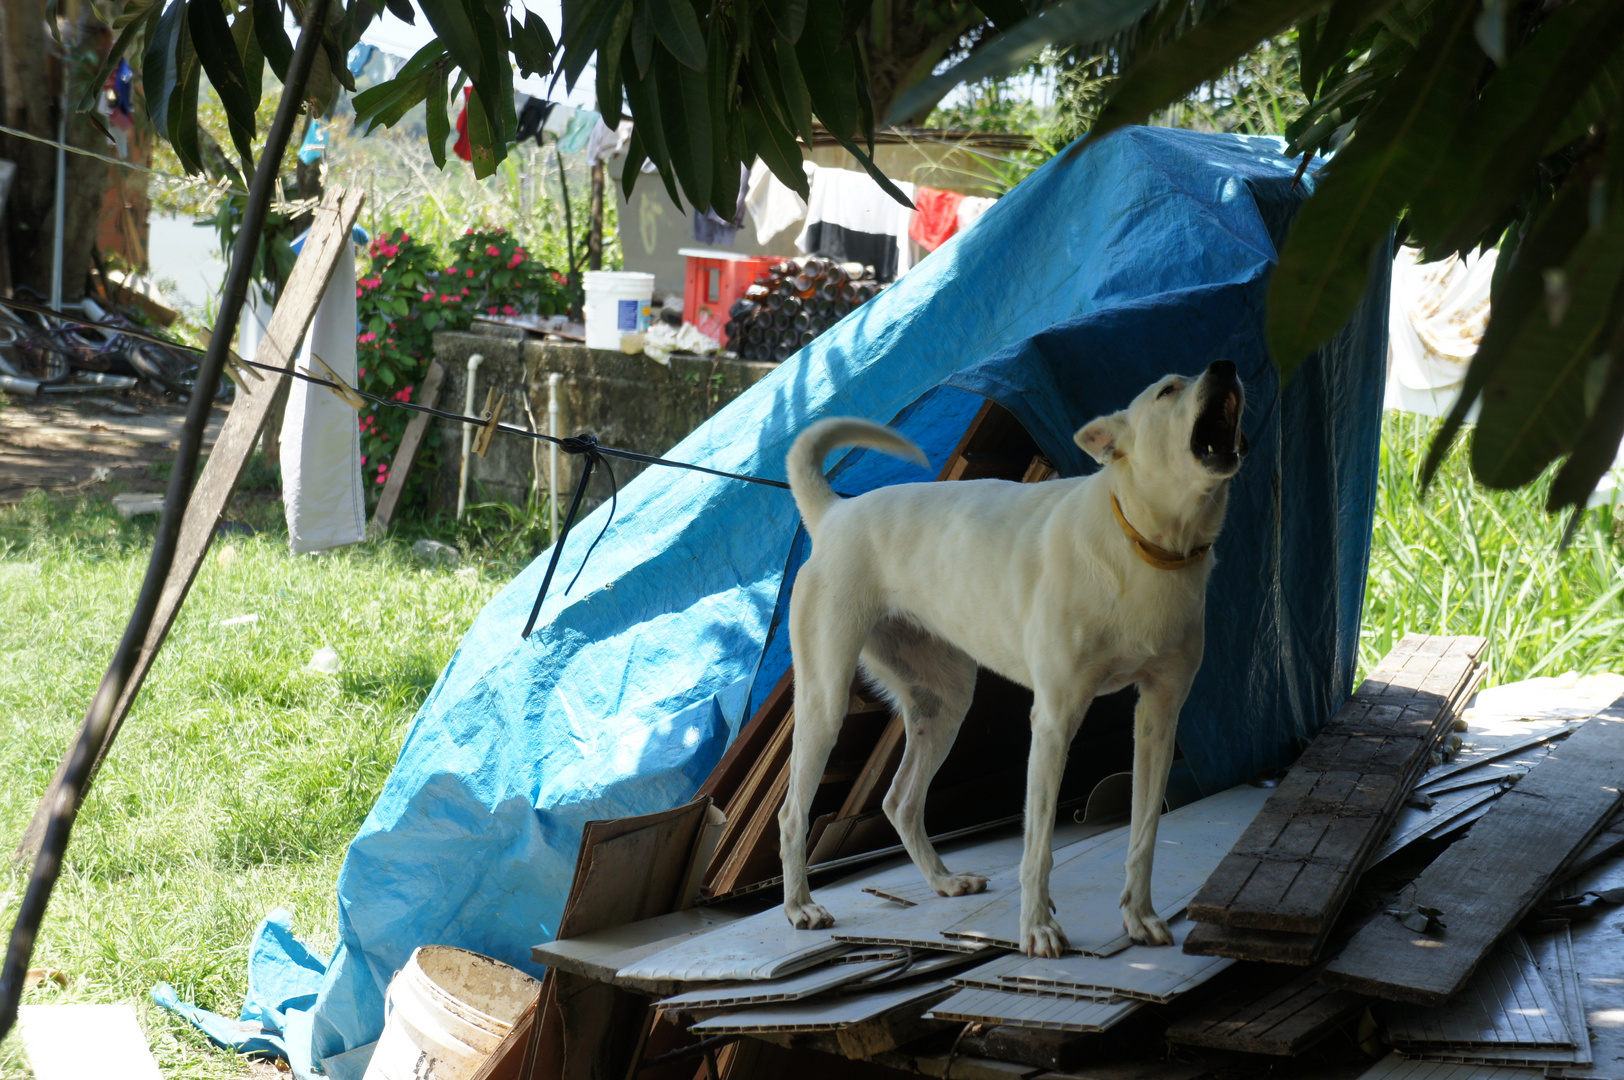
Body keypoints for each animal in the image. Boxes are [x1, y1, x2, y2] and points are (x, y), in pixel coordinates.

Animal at [779, 360, 1247, 954]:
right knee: (793, 813)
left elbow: (1144, 834)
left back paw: (943, 881)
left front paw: (1139, 918)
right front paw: (1038, 928)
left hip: (945, 703)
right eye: (1167, 390)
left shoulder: (1160, 715)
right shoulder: (1054, 719)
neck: (1145, 546)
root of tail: (835, 513)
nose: (1225, 367)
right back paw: (800, 907)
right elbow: (1037, 846)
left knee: (900, 801)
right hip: (825, 701)